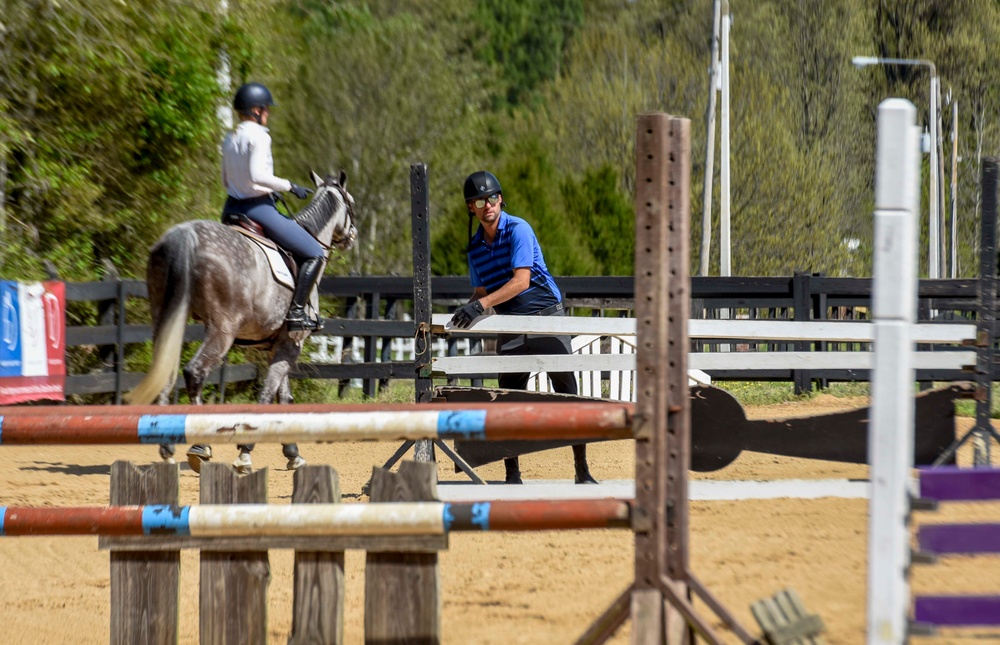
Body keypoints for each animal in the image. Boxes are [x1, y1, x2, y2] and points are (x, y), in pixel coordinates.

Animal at [127, 171, 358, 472]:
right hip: (222, 331)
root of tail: (185, 233)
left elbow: (284, 397)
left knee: (167, 370)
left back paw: (167, 449)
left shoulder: (279, 346)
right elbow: (267, 396)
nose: (352, 236)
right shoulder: (291, 344)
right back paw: (200, 447)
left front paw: (293, 453)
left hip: (165, 319)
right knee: (195, 372)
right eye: (351, 204)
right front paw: (246, 452)